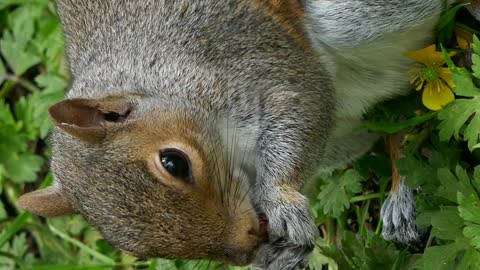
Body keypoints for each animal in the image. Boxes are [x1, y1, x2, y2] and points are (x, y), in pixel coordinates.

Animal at [15, 0, 476, 270]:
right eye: (136, 251)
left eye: (174, 162)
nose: (246, 246)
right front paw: (276, 255)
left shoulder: (258, 61)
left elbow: (302, 108)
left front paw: (282, 203)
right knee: (402, 114)